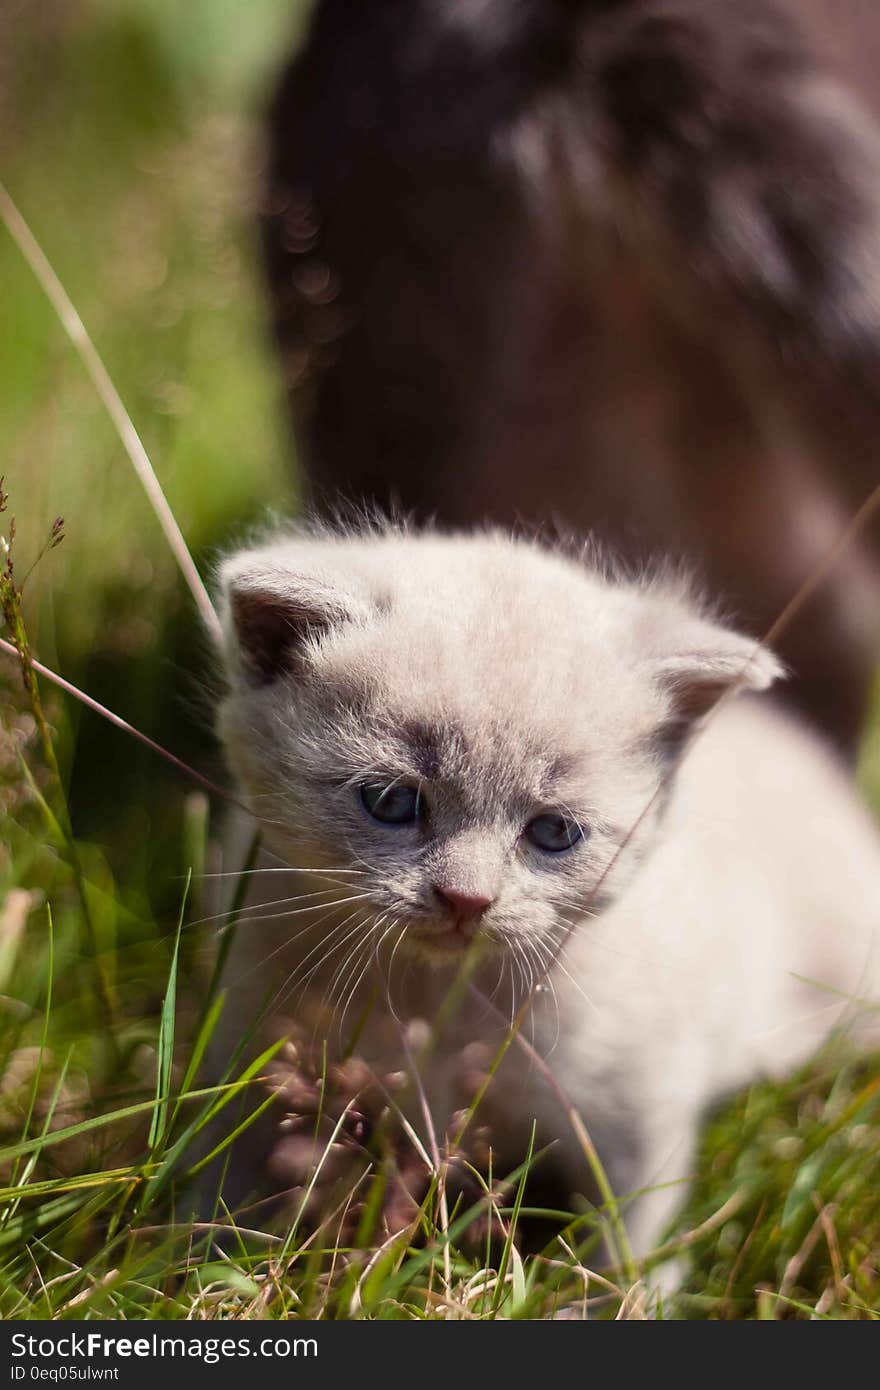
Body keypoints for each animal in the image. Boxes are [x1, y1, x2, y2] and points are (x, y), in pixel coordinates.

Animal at [212, 525, 878, 1267]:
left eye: (553, 833)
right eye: (391, 801)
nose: (466, 898)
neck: (435, 1002)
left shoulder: (639, 1097)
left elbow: (630, 1227)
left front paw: (614, 1288)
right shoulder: (253, 1030)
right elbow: (221, 1159)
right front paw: (199, 1246)